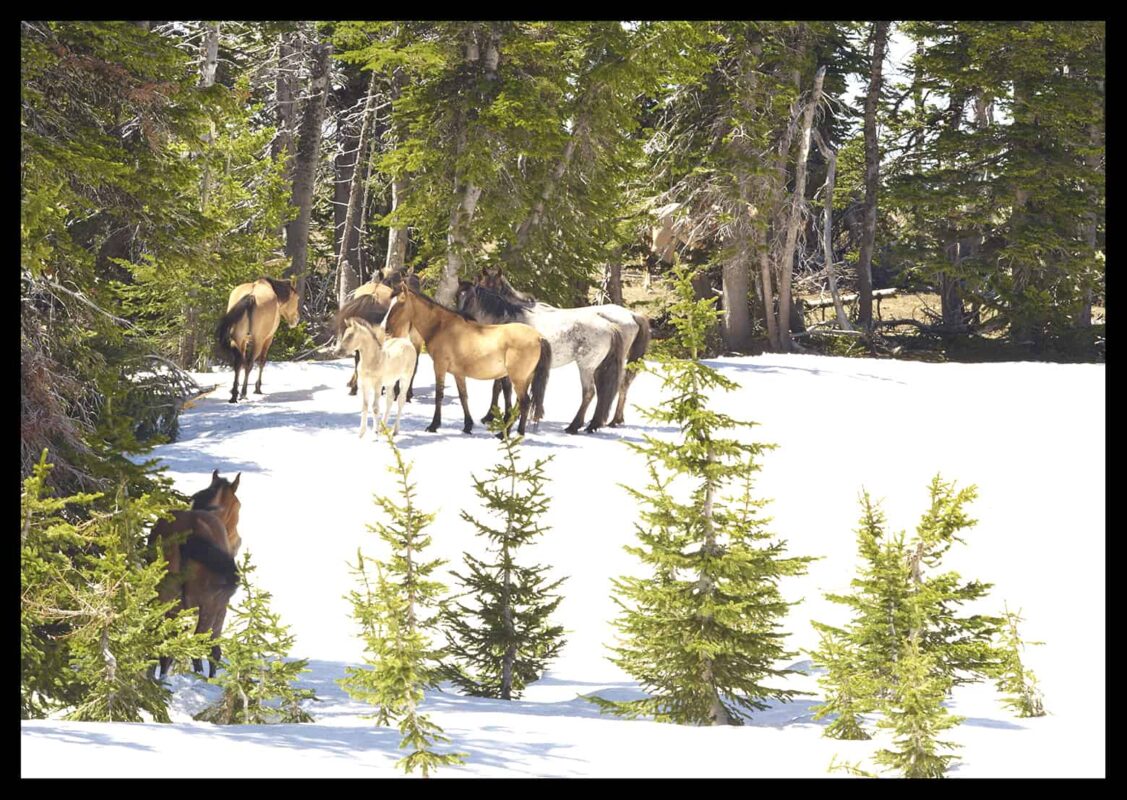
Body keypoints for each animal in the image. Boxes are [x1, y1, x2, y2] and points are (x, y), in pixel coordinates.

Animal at [148, 473, 241, 680]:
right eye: (238, 505)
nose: (238, 540)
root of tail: (188, 534)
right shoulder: (220, 606)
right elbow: (214, 648)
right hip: (206, 604)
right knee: (197, 644)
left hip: (166, 599)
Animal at [477, 268, 653, 432]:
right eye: (482, 285)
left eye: (494, 288)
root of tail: (631, 315)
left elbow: (499, 387)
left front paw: (491, 416)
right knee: (619, 386)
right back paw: (609, 421)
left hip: (590, 366)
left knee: (594, 391)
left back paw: (576, 426)